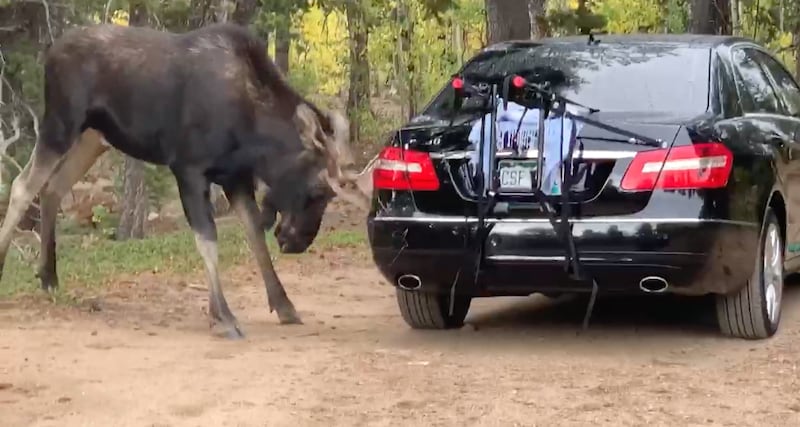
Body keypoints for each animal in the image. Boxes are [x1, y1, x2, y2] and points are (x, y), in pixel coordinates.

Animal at [0, 23, 370, 339]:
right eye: (318, 190)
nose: (297, 243)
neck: (254, 135)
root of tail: (50, 54)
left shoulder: (235, 177)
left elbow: (254, 235)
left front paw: (283, 305)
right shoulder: (189, 168)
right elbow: (208, 239)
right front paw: (223, 316)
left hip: (93, 138)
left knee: (53, 188)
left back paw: (49, 276)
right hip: (60, 125)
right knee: (22, 186)